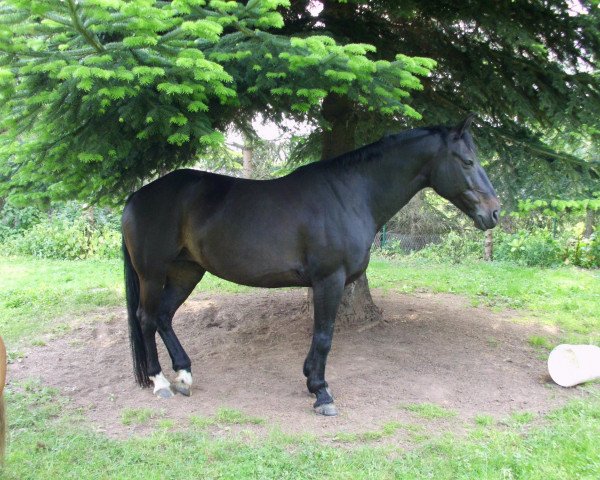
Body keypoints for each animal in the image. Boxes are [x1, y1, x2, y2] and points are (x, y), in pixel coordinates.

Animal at [120, 114, 496, 414]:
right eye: (467, 161)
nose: (493, 212)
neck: (350, 195)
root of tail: (138, 195)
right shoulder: (329, 280)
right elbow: (324, 335)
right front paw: (321, 392)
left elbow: (320, 336)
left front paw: (310, 379)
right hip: (152, 274)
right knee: (147, 318)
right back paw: (160, 382)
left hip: (187, 272)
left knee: (164, 317)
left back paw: (184, 375)